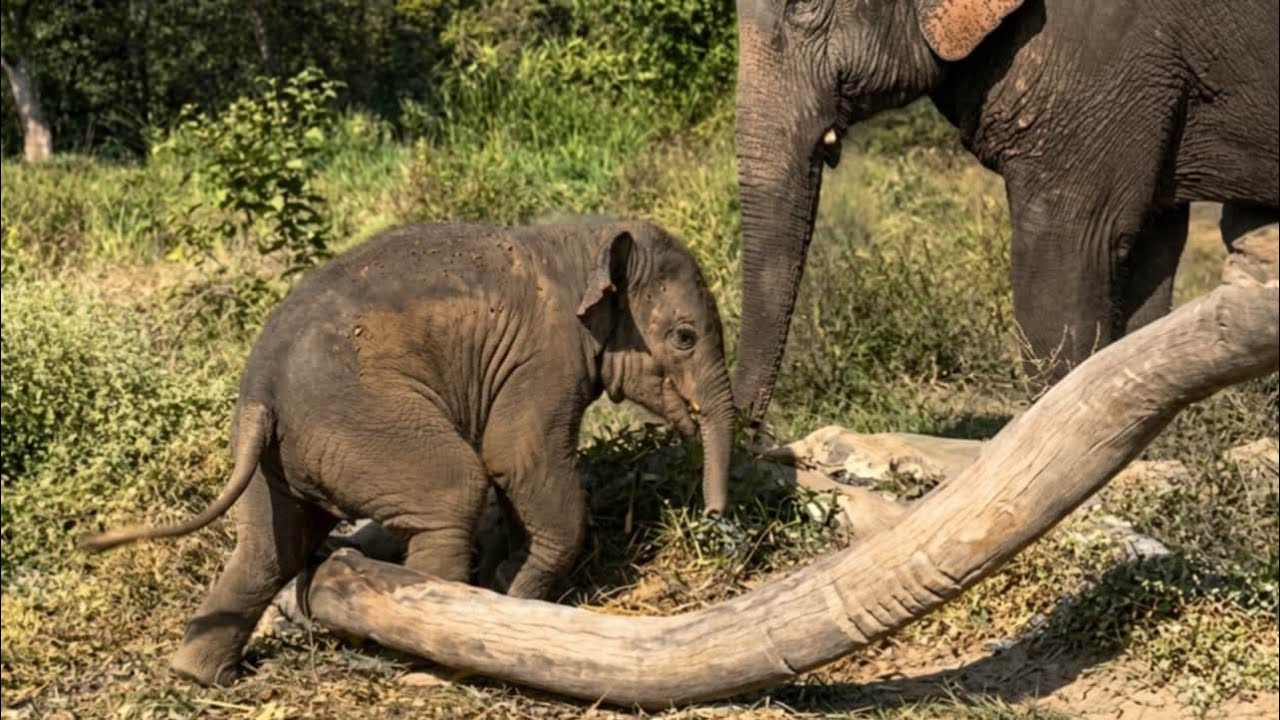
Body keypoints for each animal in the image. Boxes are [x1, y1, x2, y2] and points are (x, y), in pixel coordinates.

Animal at [78, 219, 736, 686]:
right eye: (685, 337)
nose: (712, 514)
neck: (584, 239)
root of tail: (259, 389)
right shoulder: (543, 359)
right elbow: (519, 460)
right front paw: (514, 593)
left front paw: (505, 582)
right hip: (361, 421)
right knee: (452, 492)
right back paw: (433, 665)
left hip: (280, 458)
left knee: (269, 548)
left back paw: (201, 676)